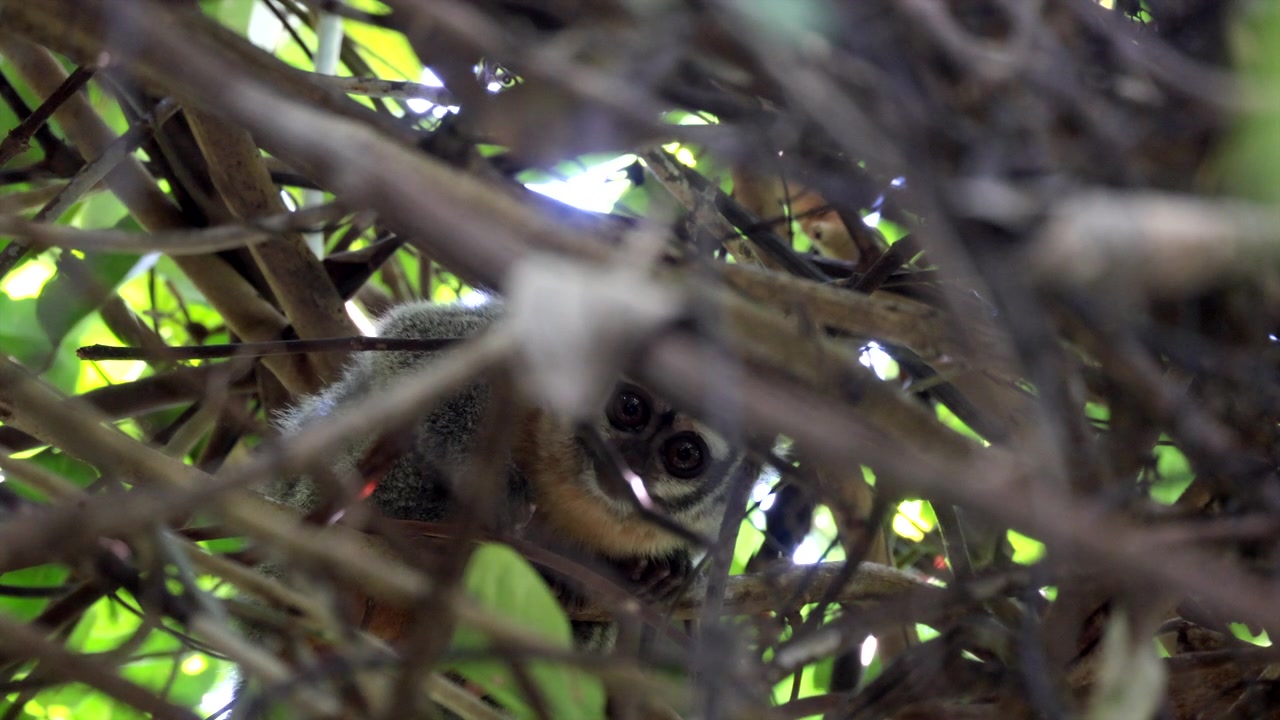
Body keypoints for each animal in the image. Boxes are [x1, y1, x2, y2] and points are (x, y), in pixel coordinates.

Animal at [268, 299, 745, 650]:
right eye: (630, 408)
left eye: (684, 453)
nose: (630, 461)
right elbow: (414, 341)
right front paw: (499, 492)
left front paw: (662, 571)